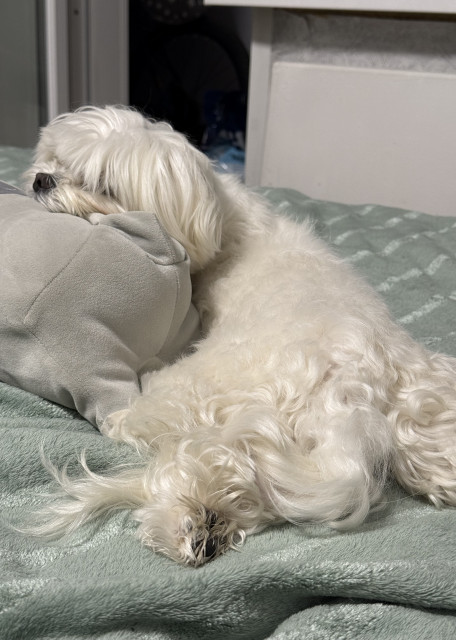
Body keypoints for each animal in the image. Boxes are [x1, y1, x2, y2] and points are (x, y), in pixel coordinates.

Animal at [24, 105, 456, 566]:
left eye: (102, 188)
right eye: (54, 159)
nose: (41, 179)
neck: (220, 212)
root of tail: (349, 390)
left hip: (189, 392)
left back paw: (188, 520)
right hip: (419, 403)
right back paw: (208, 522)